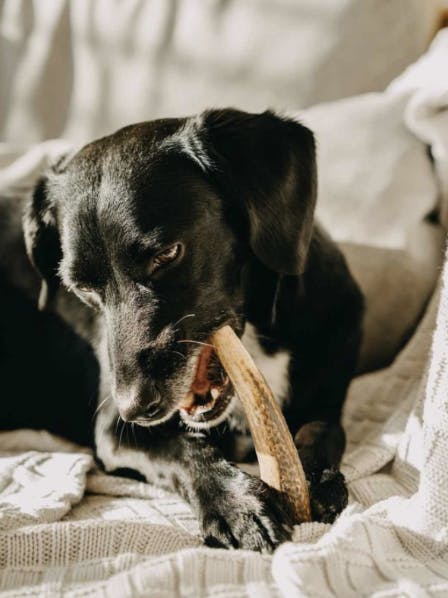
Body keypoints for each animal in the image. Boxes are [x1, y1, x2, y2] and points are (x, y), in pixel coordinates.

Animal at [0, 109, 364, 552]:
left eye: (166, 255)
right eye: (80, 288)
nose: (135, 409)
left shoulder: (328, 398)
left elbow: (322, 430)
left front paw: (314, 478)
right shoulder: (115, 433)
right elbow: (184, 449)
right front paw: (235, 504)